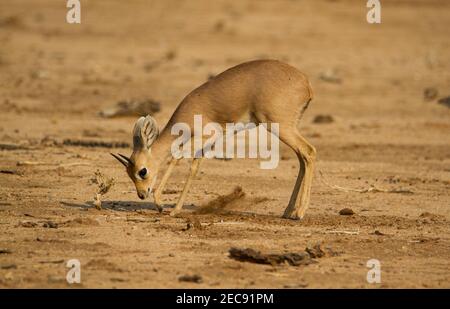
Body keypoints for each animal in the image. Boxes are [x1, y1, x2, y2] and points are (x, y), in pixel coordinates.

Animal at [111, 59, 316, 219]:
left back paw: (299, 213)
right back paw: (288, 211)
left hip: (280, 126)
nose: (141, 194)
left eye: (142, 171)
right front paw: (175, 209)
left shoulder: (204, 137)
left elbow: (176, 156)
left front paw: (162, 204)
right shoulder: (206, 145)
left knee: (309, 152)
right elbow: (194, 169)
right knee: (302, 159)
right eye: (128, 173)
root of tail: (305, 83)